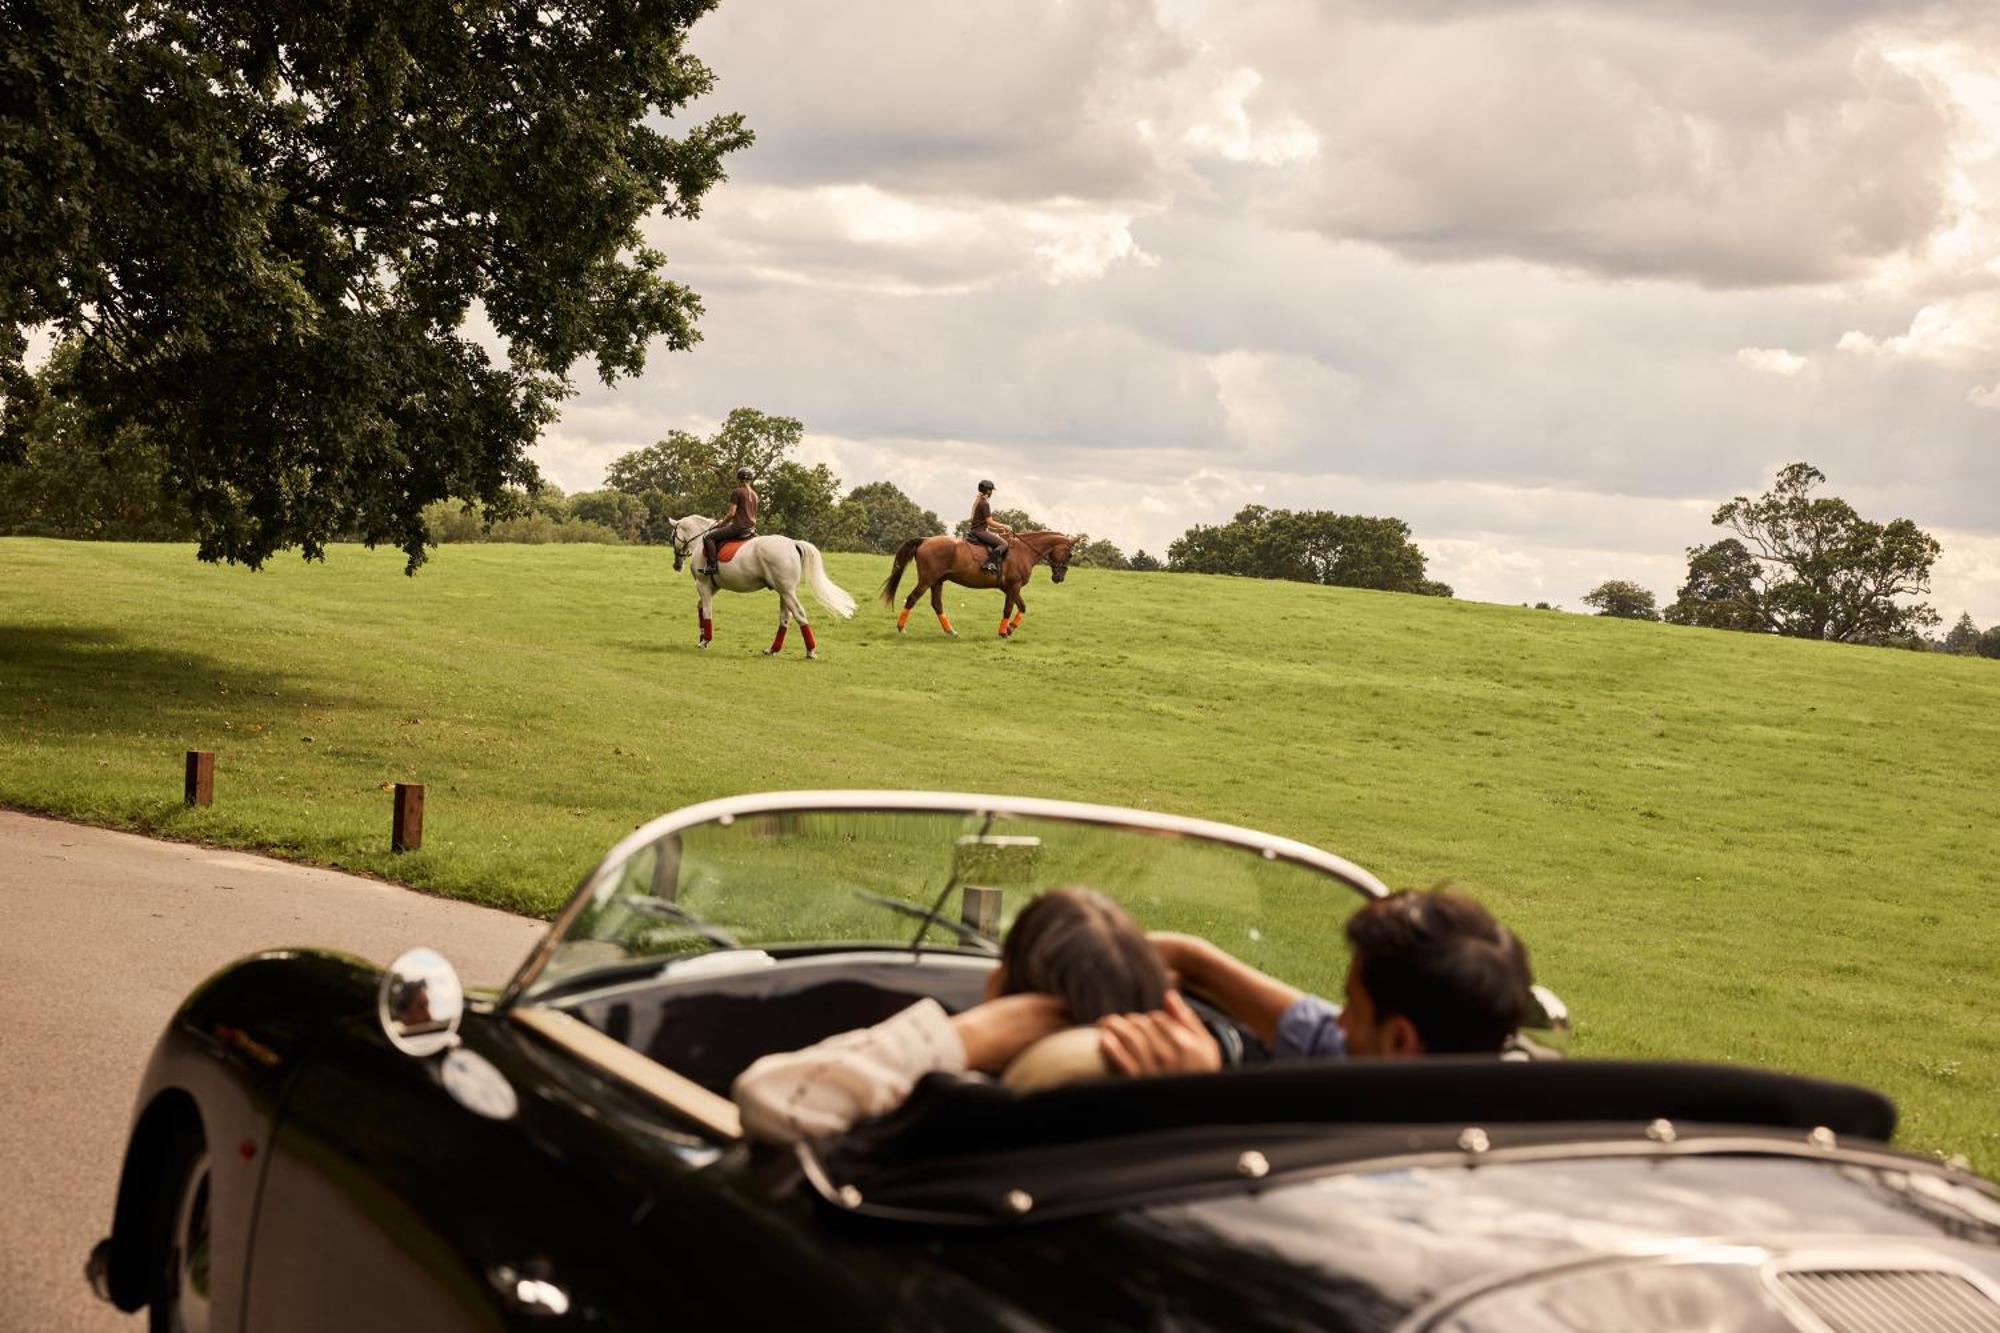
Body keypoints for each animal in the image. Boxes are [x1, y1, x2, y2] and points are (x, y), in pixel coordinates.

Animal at [676, 510, 856, 656]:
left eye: (673, 535)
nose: (677, 565)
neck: (700, 540)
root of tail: (793, 543)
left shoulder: (703, 584)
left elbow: (707, 611)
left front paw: (705, 640)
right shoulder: (712, 587)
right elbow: (701, 607)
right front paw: (702, 637)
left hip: (786, 591)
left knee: (799, 614)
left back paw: (810, 651)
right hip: (784, 592)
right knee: (785, 618)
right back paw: (772, 649)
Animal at [880, 528, 1080, 636]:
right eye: (1070, 554)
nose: (1059, 578)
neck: (1024, 551)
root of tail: (925, 540)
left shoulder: (1011, 588)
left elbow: (1022, 607)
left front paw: (1010, 628)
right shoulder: (1013, 586)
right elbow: (1008, 609)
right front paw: (1003, 632)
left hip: (938, 581)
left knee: (937, 604)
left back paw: (950, 631)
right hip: (927, 579)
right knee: (912, 599)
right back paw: (901, 628)